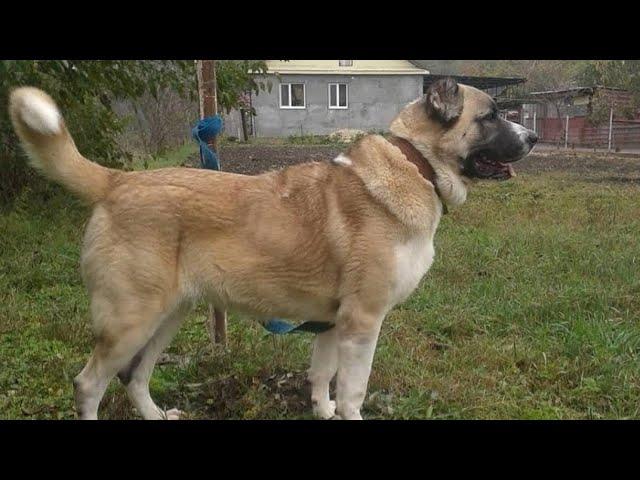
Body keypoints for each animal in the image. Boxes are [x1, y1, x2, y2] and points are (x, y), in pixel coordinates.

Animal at [10, 77, 536, 418]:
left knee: (134, 378)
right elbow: (353, 392)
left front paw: (322, 410)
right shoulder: (363, 323)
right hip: (131, 319)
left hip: (168, 315)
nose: (533, 136)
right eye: (490, 115)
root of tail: (117, 181)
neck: (416, 164)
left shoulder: (332, 324)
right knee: (89, 384)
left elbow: (322, 381)